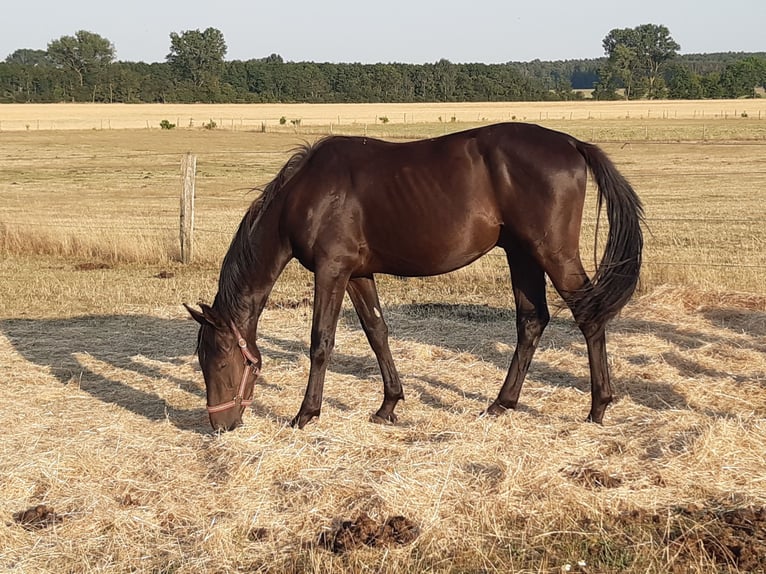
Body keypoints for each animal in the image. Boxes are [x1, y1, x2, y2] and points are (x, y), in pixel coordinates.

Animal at [185, 122, 644, 432]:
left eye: (220, 359)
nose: (221, 425)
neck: (306, 194)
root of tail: (572, 144)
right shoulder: (358, 274)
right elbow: (377, 332)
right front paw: (389, 405)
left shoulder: (332, 270)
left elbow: (321, 341)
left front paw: (306, 413)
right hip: (522, 255)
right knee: (532, 321)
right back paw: (501, 403)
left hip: (553, 253)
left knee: (588, 316)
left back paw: (598, 406)